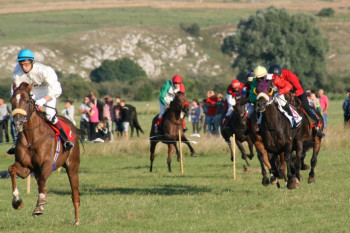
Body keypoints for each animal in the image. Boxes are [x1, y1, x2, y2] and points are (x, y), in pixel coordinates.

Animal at [8, 82, 81, 226]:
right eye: (12, 101)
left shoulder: (48, 164)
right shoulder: (26, 168)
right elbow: (12, 169)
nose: (18, 122)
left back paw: (76, 221)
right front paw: (17, 201)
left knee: (75, 194)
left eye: (27, 100)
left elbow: (42, 181)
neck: (31, 138)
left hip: (72, 167)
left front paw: (40, 205)